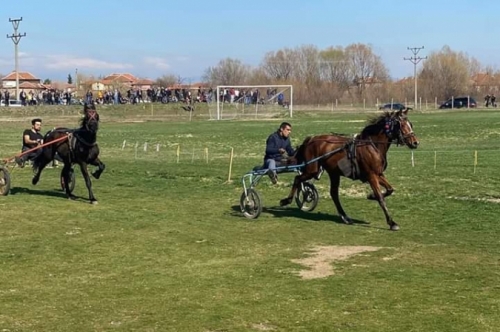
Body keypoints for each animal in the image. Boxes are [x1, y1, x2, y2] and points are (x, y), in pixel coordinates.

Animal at [282, 109, 418, 231]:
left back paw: (345, 217)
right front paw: (391, 222)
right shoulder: (371, 175)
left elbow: (390, 189)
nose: (415, 142)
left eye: (410, 124)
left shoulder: (378, 174)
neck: (372, 145)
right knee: (298, 178)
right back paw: (286, 200)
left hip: (333, 173)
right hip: (312, 170)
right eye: (402, 125)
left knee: (334, 193)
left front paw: (371, 196)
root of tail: (311, 139)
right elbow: (380, 197)